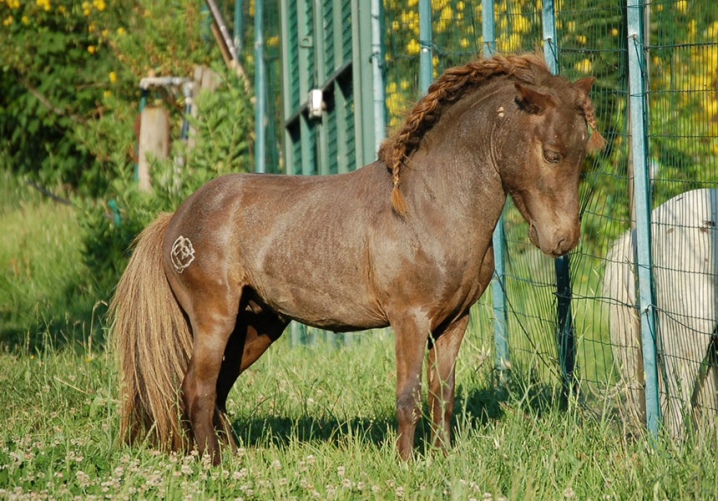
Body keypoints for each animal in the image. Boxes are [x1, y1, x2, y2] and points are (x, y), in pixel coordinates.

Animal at [111, 52, 608, 462]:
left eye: (585, 154)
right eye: (552, 153)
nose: (562, 240)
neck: (430, 204)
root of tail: (176, 218)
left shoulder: (454, 324)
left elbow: (443, 396)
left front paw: (444, 460)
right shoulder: (411, 320)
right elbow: (408, 397)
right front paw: (408, 466)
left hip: (254, 326)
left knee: (217, 391)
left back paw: (234, 459)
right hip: (215, 320)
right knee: (197, 389)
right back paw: (212, 466)